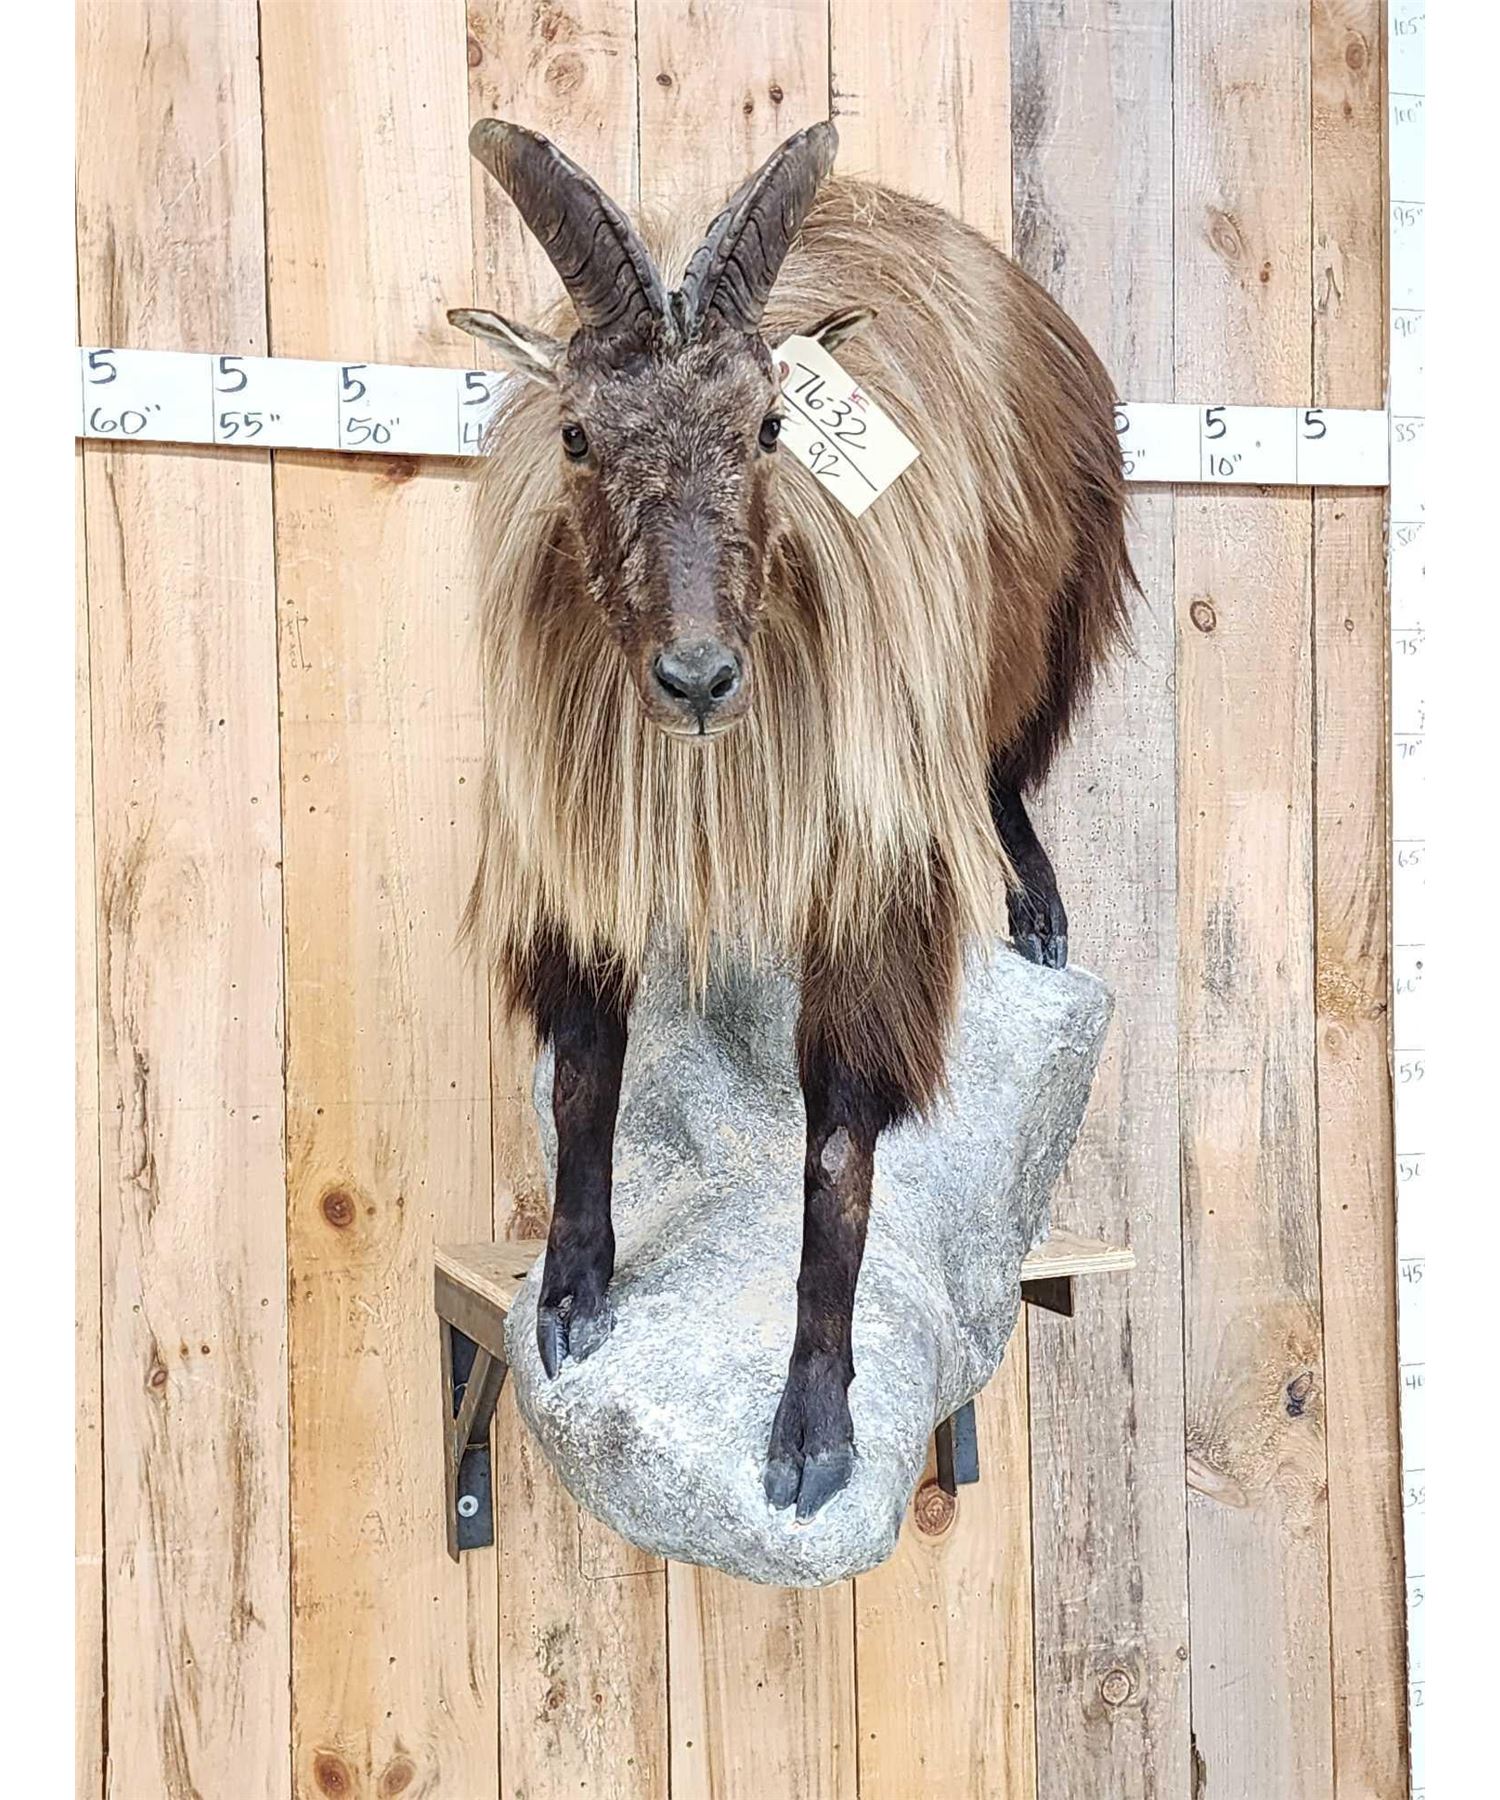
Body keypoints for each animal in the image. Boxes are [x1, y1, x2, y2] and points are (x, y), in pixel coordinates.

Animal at [451, 118, 1132, 1519]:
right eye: (578, 435)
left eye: (771, 424)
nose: (699, 678)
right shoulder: (580, 849)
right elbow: (586, 1075)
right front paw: (573, 1295)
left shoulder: (877, 869)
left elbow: (837, 1156)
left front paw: (813, 1425)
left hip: (1052, 612)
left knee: (1005, 764)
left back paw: (1036, 909)